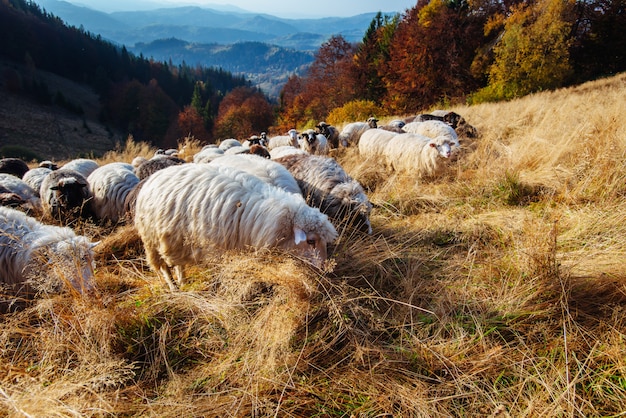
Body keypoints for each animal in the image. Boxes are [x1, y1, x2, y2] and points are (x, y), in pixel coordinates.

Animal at [133, 163, 336, 290]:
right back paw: (174, 287)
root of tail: (153, 177)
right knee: (164, 268)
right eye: (311, 241)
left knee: (178, 265)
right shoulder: (218, 251)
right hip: (151, 241)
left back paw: (182, 282)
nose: (327, 270)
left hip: (176, 242)